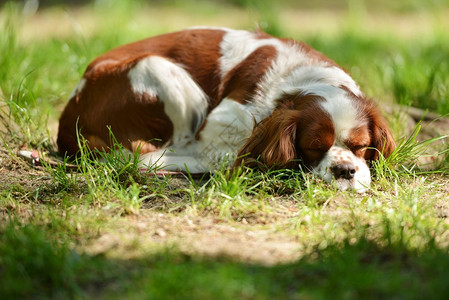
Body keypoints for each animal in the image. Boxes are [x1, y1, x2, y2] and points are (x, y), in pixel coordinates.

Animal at [57, 27, 394, 192]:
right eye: (313, 147)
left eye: (361, 146)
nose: (345, 171)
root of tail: (67, 120)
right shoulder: (219, 124)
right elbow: (222, 156)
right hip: (159, 69)